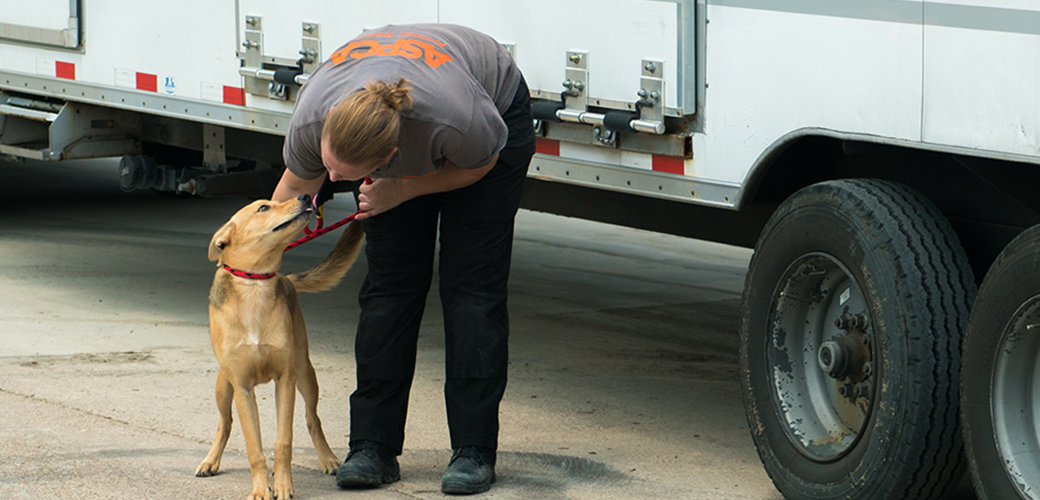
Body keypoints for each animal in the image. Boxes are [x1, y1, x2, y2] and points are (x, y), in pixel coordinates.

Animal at [195, 194, 366, 498]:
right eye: (263, 208)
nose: (305, 195)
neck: (254, 287)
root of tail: (286, 278)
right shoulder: (242, 387)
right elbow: (254, 446)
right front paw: (261, 489)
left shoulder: (286, 379)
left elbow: (283, 440)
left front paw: (283, 485)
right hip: (223, 385)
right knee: (224, 423)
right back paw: (211, 460)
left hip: (305, 372)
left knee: (312, 418)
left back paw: (328, 458)